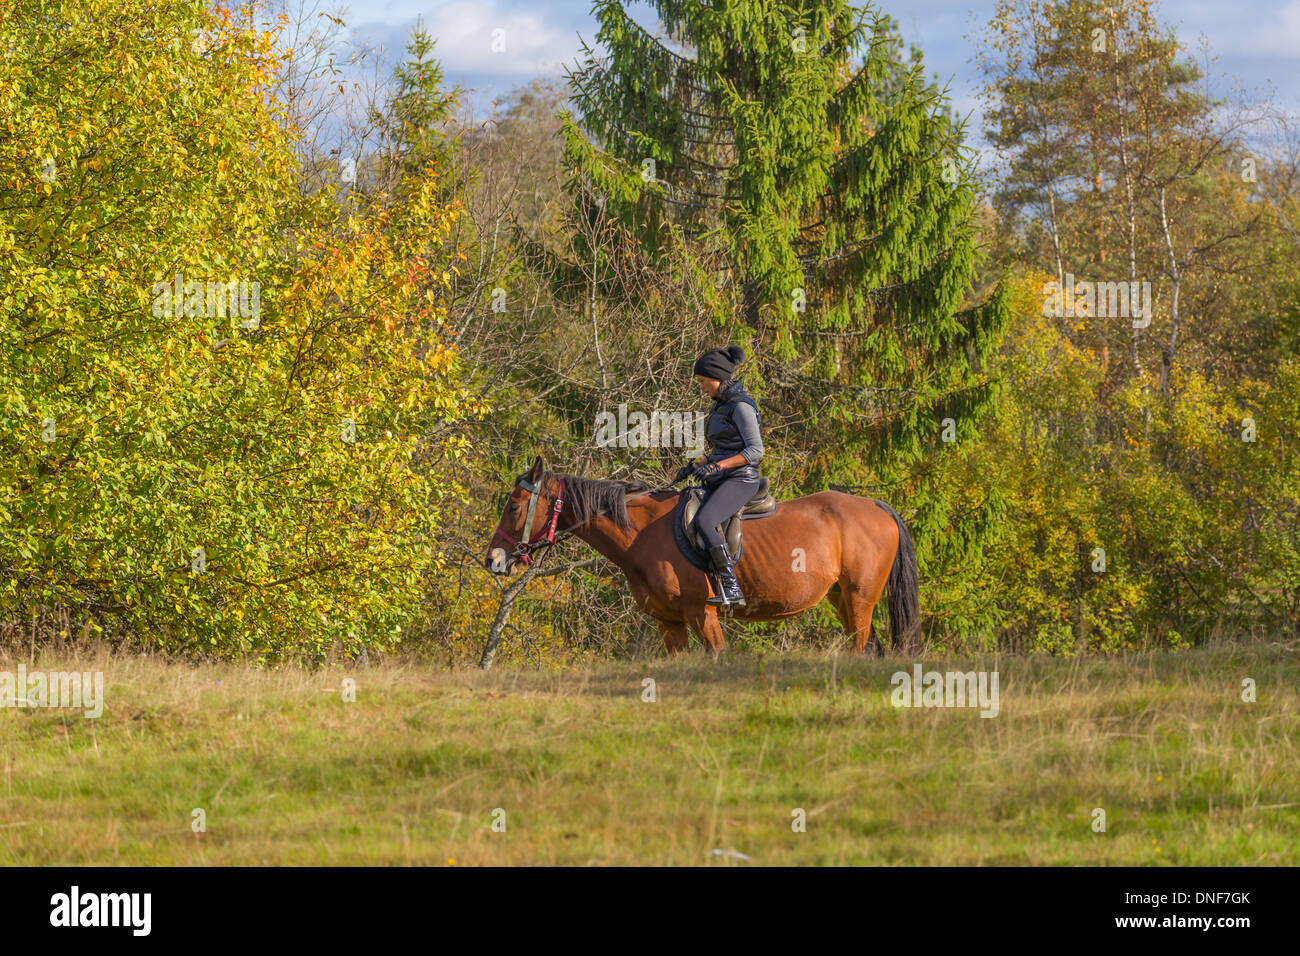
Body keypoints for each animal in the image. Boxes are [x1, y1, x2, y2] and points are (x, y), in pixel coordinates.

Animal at [483, 457, 920, 658]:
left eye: (514, 507)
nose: (493, 560)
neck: (643, 534)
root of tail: (876, 506)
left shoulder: (702, 614)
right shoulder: (670, 622)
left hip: (860, 598)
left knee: (861, 645)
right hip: (841, 598)